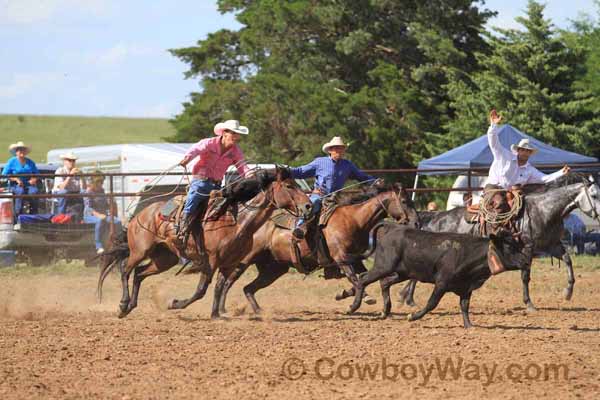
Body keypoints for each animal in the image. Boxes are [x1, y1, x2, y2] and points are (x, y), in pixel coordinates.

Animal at [96, 168, 312, 318]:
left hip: (165, 259)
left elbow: (219, 287)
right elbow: (201, 290)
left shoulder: (229, 263)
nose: (308, 205)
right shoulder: (211, 260)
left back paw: (130, 306)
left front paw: (216, 314)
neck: (238, 222)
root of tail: (138, 216)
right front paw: (175, 304)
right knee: (125, 269)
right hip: (140, 250)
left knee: (139, 273)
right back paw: (123, 305)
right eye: (289, 186)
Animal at [213, 184, 420, 316]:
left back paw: (257, 311)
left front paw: (344, 295)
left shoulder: (355, 260)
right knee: (227, 280)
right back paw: (222, 309)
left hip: (274, 269)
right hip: (244, 261)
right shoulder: (342, 259)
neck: (354, 220)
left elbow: (362, 279)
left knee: (248, 288)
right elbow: (358, 281)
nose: (417, 222)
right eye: (404, 201)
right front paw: (353, 306)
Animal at [398, 173, 600, 310]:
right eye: (594, 195)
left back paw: (406, 297)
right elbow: (525, 276)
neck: (543, 210)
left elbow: (568, 260)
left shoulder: (551, 246)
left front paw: (568, 292)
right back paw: (407, 298)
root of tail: (437, 217)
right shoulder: (528, 247)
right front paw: (529, 303)